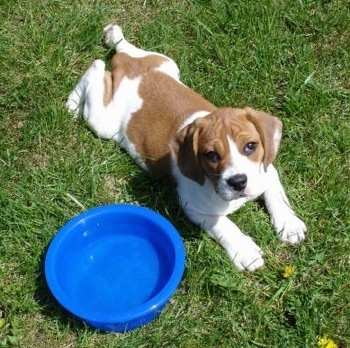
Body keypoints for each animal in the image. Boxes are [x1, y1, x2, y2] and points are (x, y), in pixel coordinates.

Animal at [66, 24, 306, 270]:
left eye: (250, 146)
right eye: (211, 155)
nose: (238, 182)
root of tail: (125, 65)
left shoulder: (267, 170)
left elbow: (277, 196)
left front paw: (289, 224)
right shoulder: (193, 208)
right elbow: (223, 225)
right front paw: (245, 251)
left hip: (166, 63)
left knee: (122, 50)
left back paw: (114, 36)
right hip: (102, 122)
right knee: (96, 67)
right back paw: (72, 105)